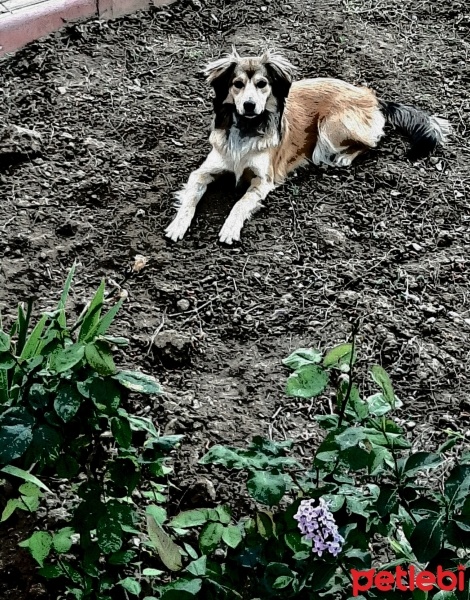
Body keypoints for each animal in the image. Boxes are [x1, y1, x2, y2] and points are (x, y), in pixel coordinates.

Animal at [164, 47, 448, 244]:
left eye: (262, 84)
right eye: (237, 84)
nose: (249, 105)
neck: (246, 128)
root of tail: (370, 96)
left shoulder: (263, 181)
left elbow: (240, 203)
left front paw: (230, 227)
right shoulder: (203, 172)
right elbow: (190, 198)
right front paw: (178, 224)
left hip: (330, 126)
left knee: (374, 140)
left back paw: (345, 157)